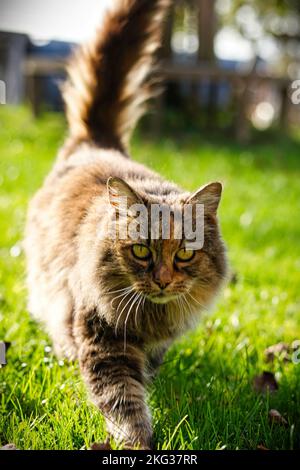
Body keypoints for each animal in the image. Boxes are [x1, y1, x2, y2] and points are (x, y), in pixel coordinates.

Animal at [25, 0, 227, 448]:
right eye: (141, 251)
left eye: (184, 255)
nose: (163, 280)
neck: (152, 318)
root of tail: (97, 142)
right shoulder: (104, 341)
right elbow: (125, 401)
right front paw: (139, 442)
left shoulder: (154, 344)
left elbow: (144, 377)